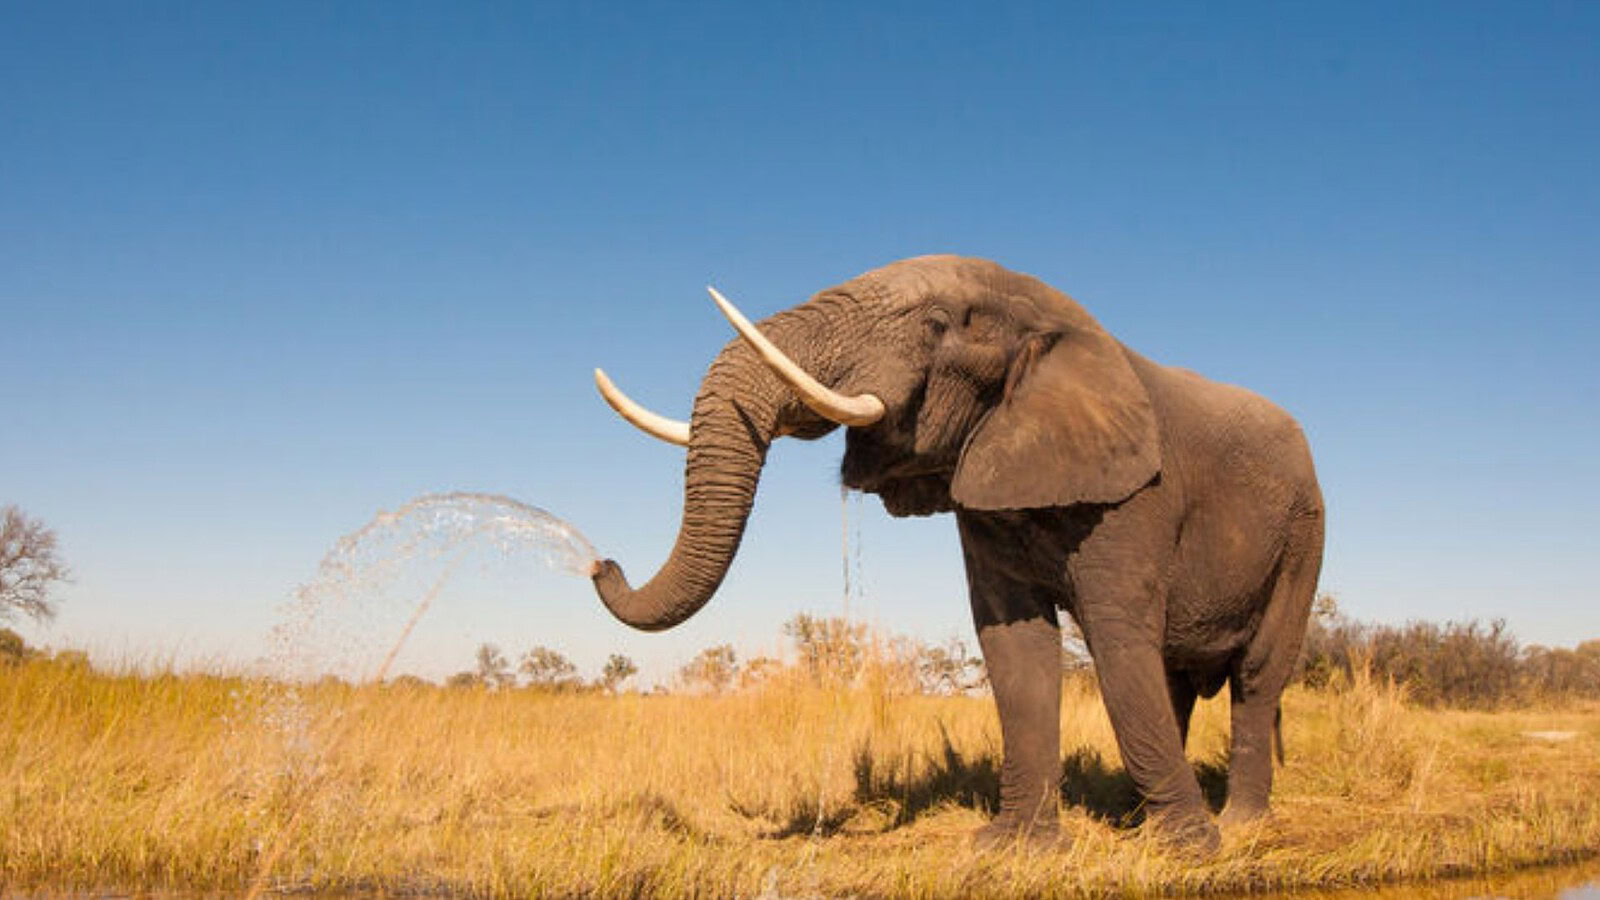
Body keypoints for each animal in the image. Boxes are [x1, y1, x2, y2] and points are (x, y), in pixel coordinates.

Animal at [588, 255, 1324, 853]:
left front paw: (1189, 852)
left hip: (1304, 536)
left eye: (938, 323)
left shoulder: (1138, 494)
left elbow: (1117, 641)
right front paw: (1012, 848)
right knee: (1174, 677)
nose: (601, 563)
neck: (1052, 316)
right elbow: (1015, 645)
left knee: (1256, 674)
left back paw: (1236, 825)